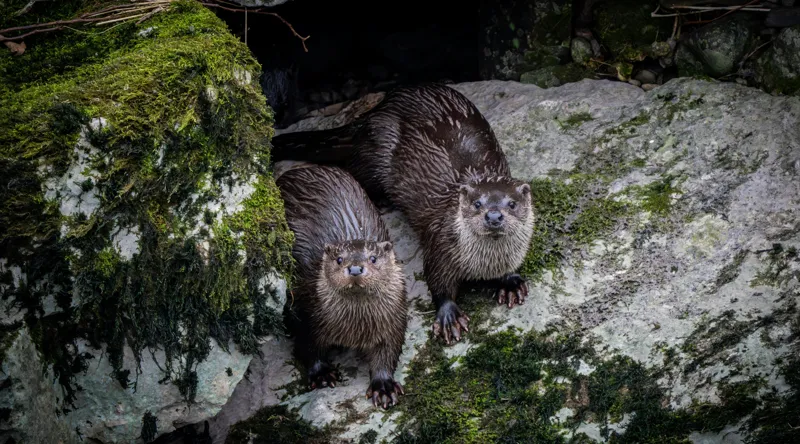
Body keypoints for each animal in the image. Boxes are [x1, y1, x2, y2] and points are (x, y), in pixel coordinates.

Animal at [270, 83, 535, 346]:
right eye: (477, 203)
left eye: (512, 204)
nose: (494, 216)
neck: (486, 262)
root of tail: (380, 108)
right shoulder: (441, 244)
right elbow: (437, 280)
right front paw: (449, 316)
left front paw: (511, 282)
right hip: (377, 150)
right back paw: (381, 201)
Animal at [274, 161, 408, 409]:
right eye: (339, 259)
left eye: (373, 258)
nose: (355, 268)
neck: (355, 329)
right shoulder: (309, 312)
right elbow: (308, 347)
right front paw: (322, 374)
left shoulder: (394, 319)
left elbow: (388, 352)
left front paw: (383, 387)